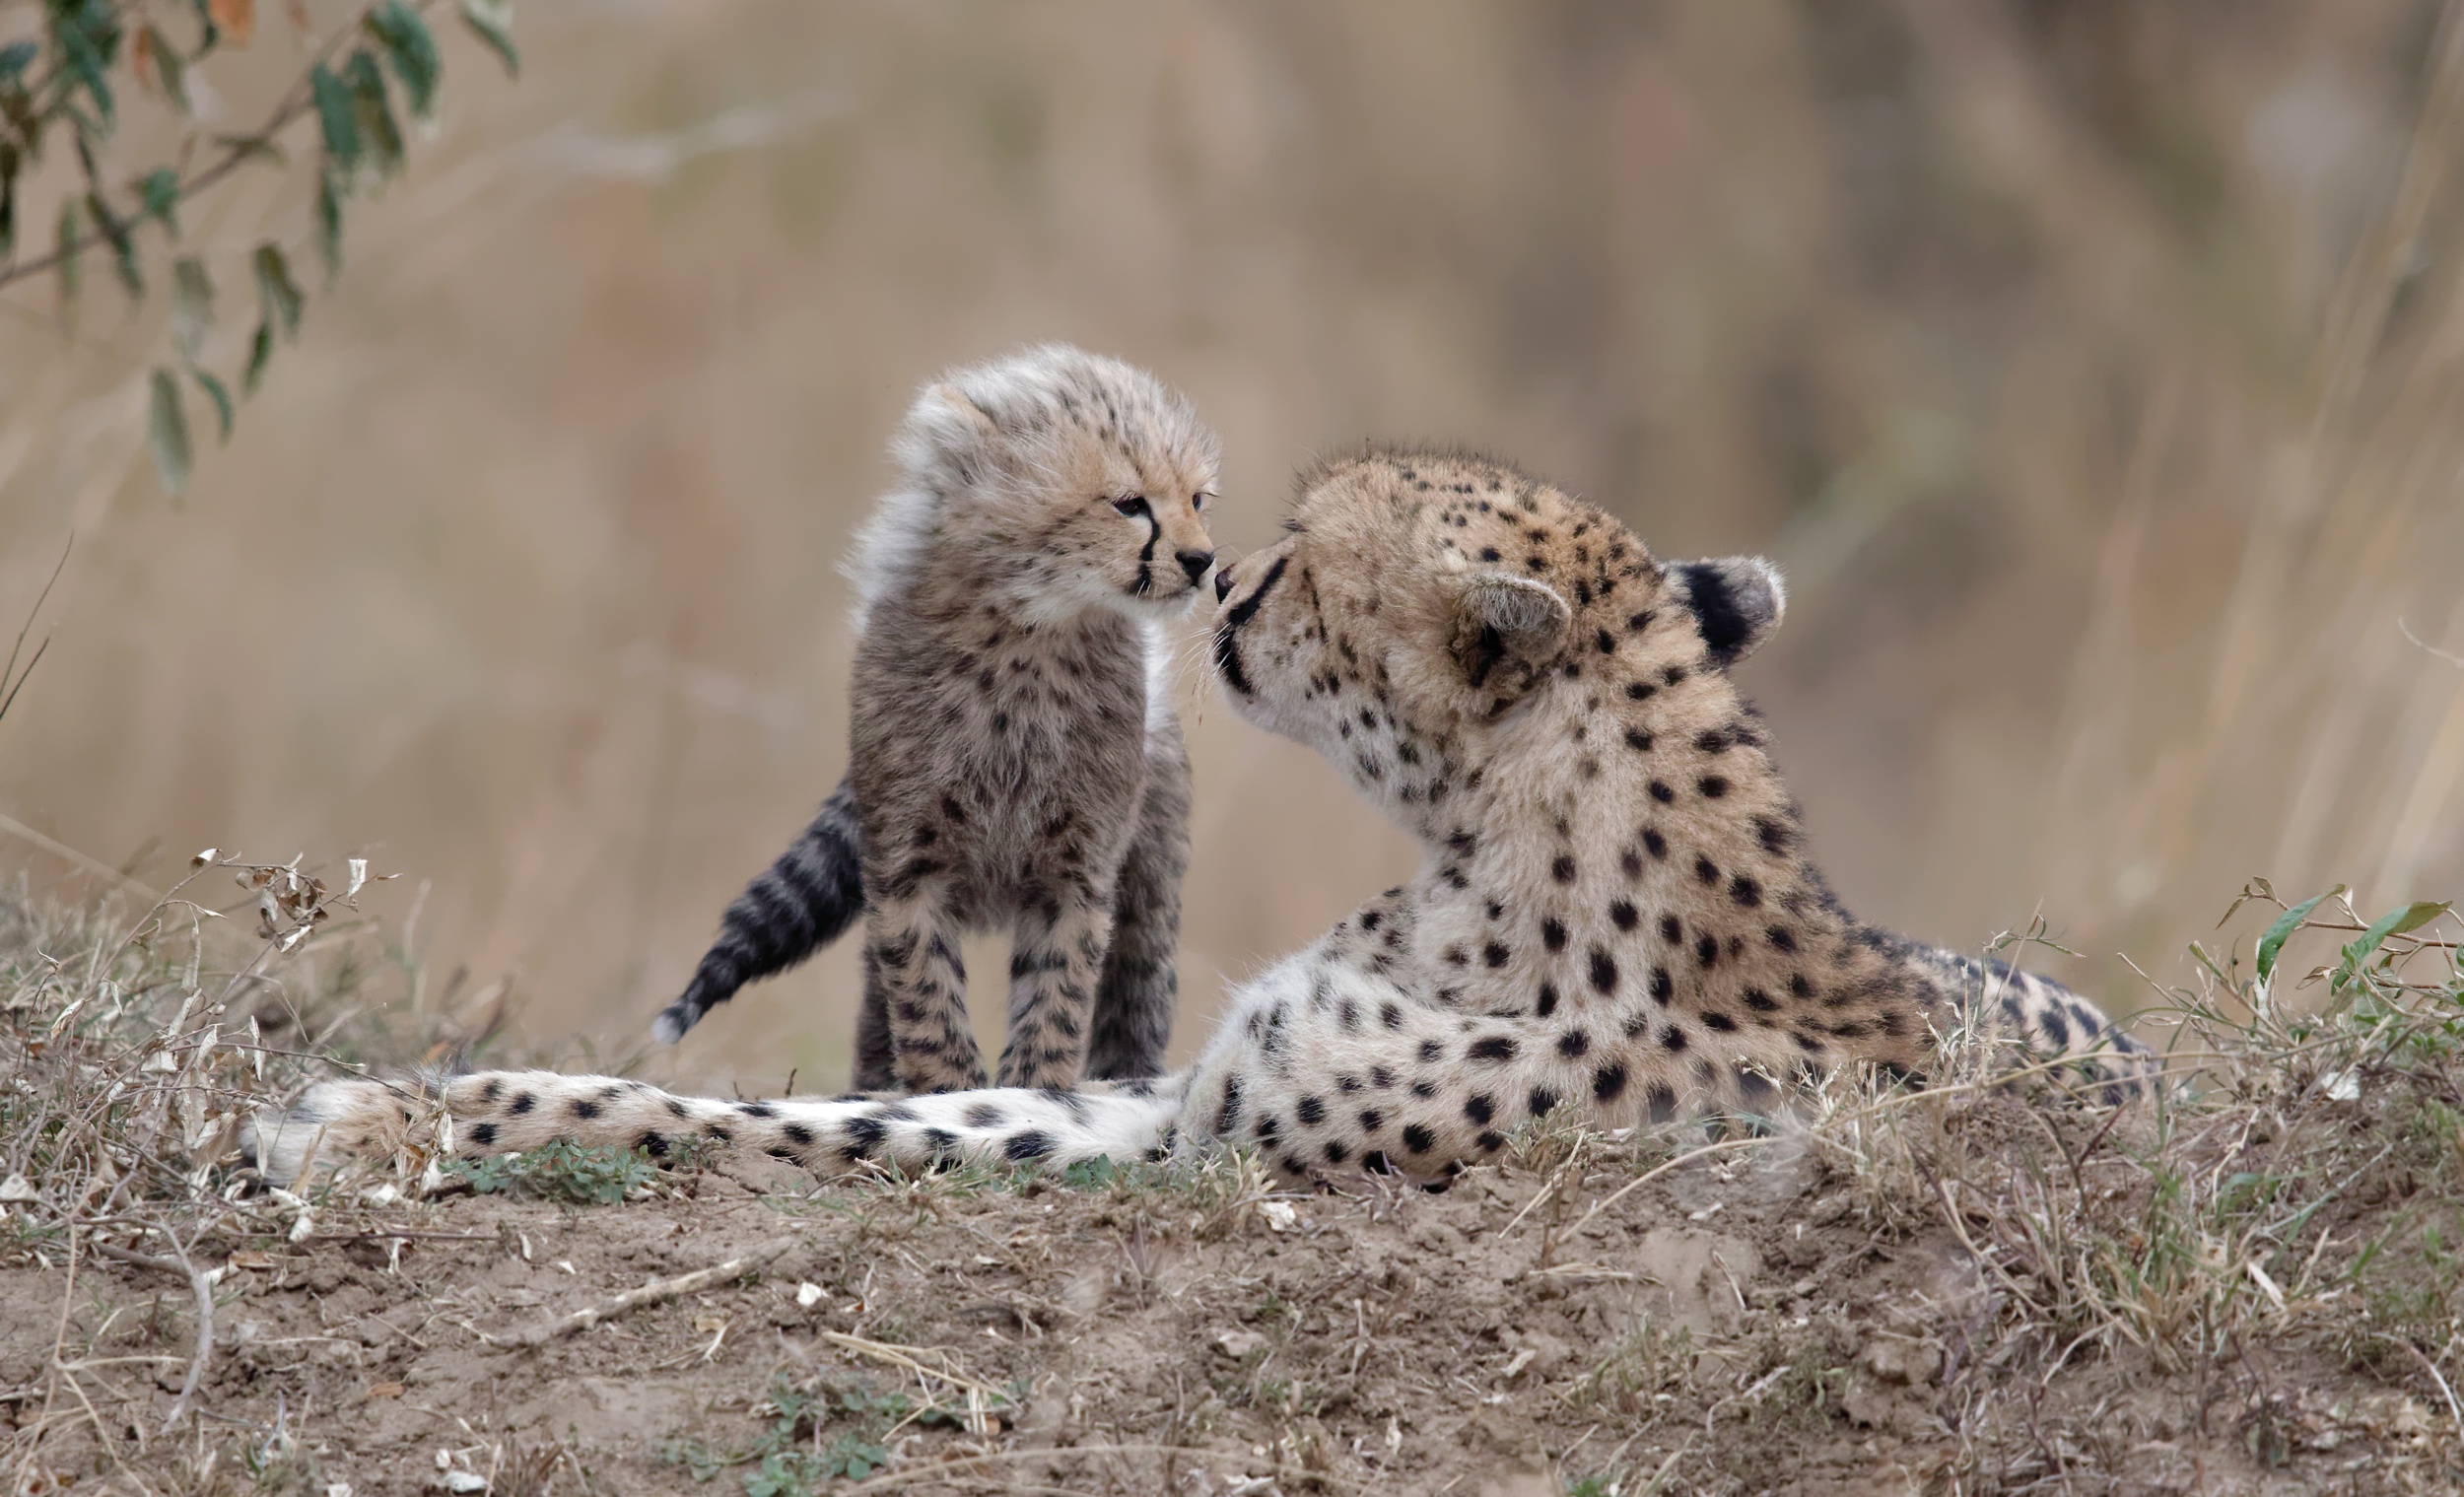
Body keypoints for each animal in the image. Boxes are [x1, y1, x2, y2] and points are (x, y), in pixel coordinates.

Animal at [240, 442, 2149, 1182]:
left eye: (1301, 557)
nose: (1222, 576)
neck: (1491, 860)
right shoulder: (1189, 1088)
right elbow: (909, 1106)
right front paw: (403, 1097)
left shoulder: (1230, 1133)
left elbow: (839, 1136)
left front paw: (384, 1115)